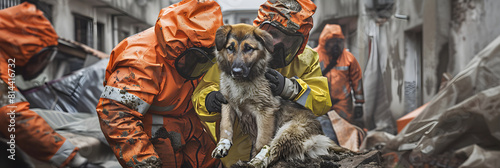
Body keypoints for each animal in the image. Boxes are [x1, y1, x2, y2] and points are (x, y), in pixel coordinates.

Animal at [211, 23, 348, 167]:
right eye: (230, 48)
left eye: (248, 48)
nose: (236, 71)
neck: (241, 83)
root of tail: (319, 135)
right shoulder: (227, 104)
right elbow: (225, 127)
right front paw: (222, 146)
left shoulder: (265, 111)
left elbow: (261, 142)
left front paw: (256, 158)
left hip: (287, 131)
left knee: (273, 150)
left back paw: (253, 163)